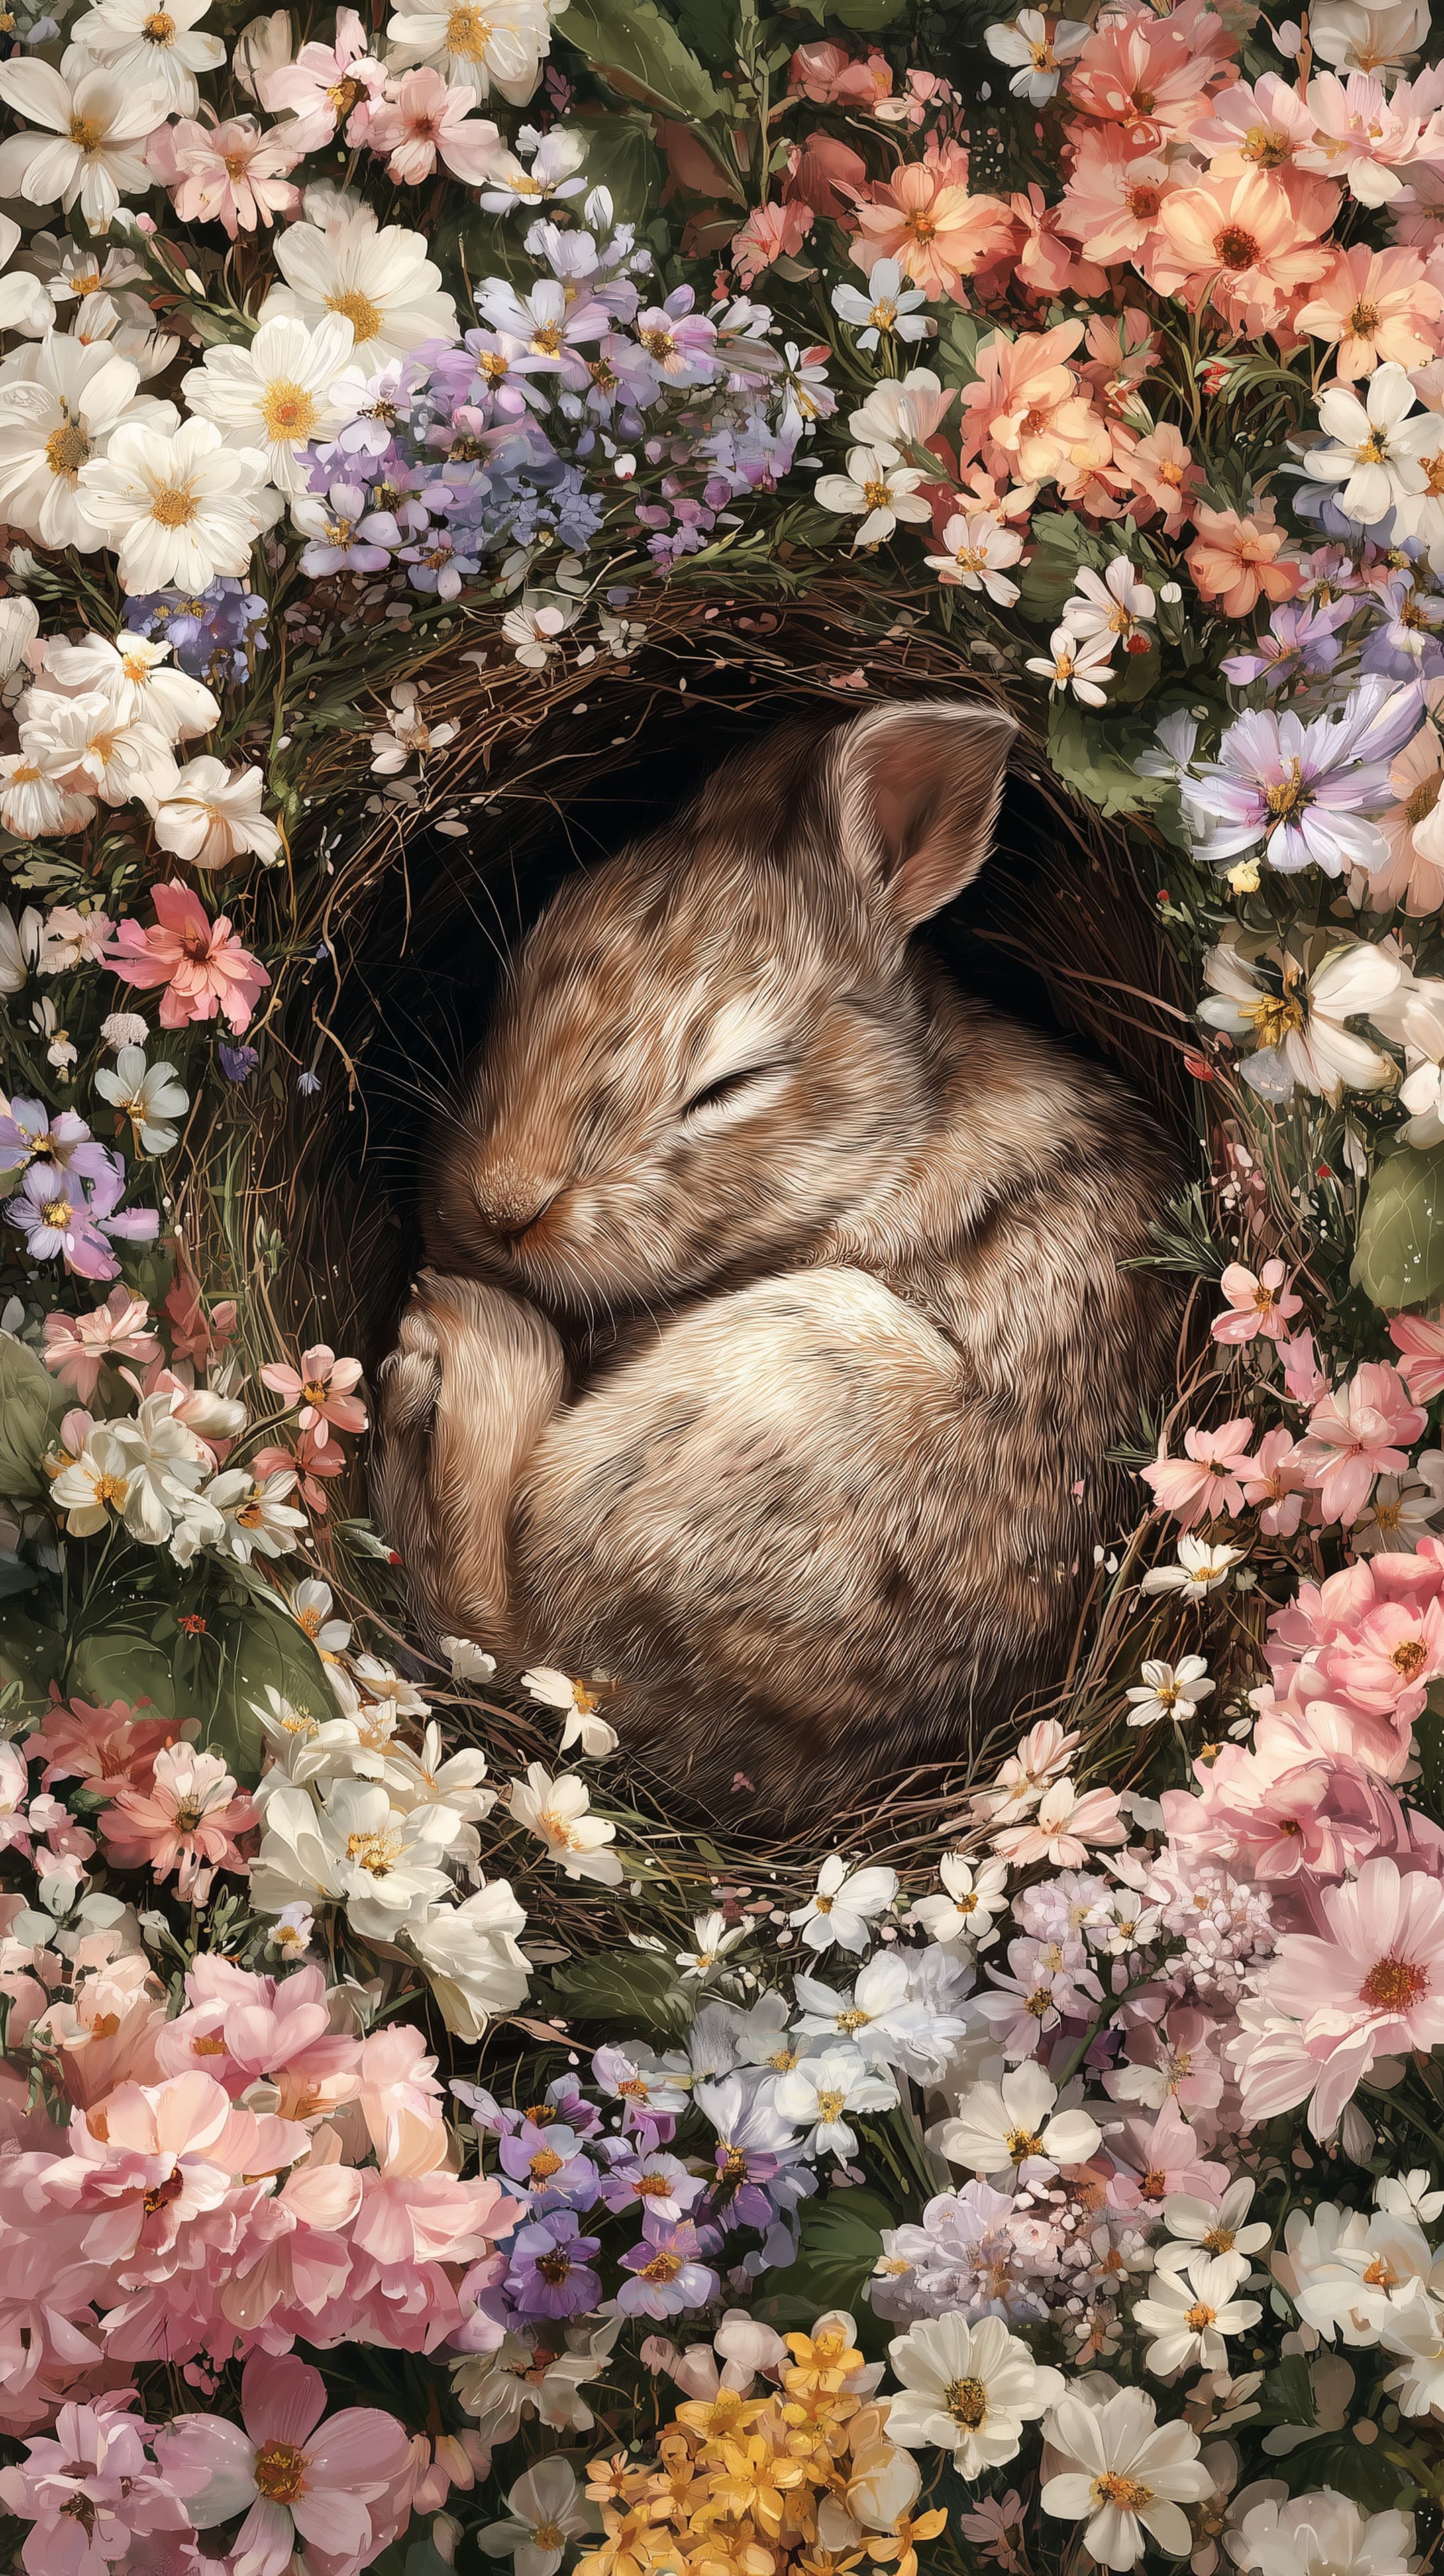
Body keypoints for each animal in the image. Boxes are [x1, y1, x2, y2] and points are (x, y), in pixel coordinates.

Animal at [373, 699, 1181, 1823]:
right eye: (535, 948)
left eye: (731, 1085)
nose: (504, 1204)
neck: (897, 1143)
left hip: (788, 1376)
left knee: (496, 1610)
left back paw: (447, 1333)